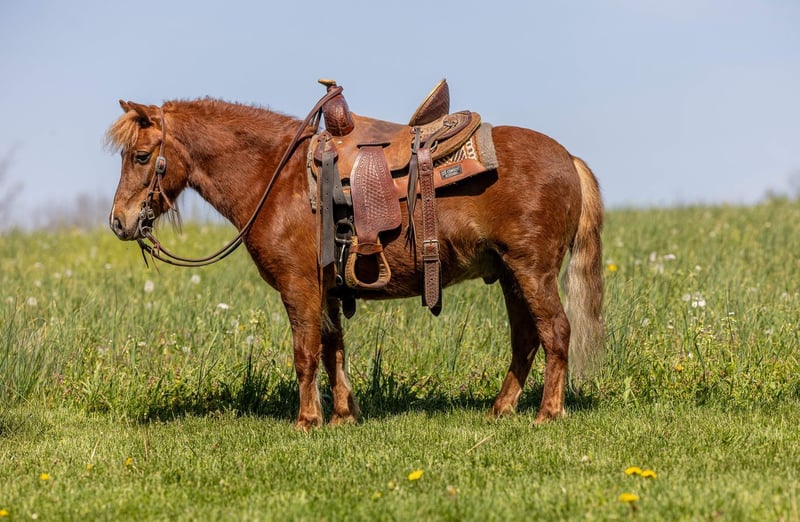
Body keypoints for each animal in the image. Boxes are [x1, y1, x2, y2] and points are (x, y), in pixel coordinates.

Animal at [106, 89, 604, 430]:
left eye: (142, 155)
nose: (119, 222)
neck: (277, 176)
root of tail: (568, 158)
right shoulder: (326, 289)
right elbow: (333, 349)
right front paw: (343, 414)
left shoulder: (299, 285)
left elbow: (305, 352)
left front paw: (307, 420)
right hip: (509, 275)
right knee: (526, 339)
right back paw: (501, 408)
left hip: (532, 271)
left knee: (556, 332)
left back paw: (548, 412)